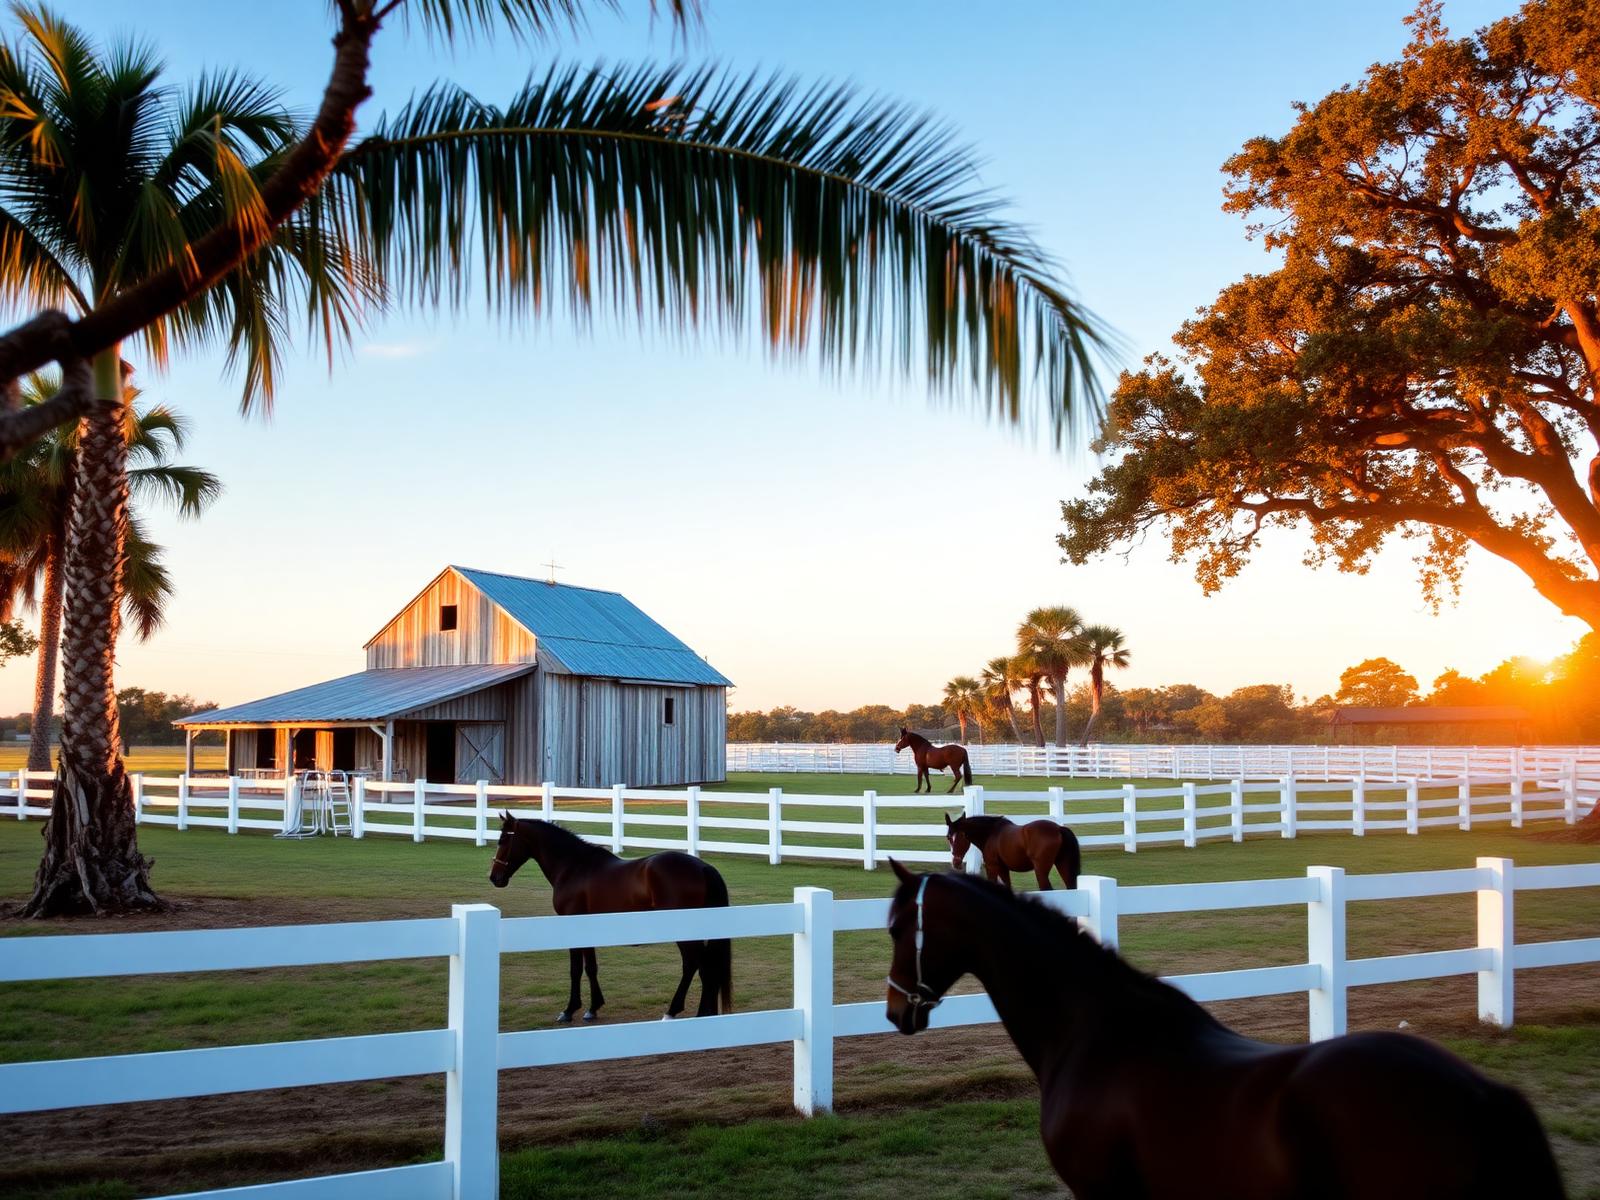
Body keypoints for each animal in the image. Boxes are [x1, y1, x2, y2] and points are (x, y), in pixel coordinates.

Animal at [489, 813, 733, 1023]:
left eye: (503, 840)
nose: (494, 877)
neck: (574, 867)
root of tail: (703, 867)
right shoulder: (588, 928)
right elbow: (591, 967)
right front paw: (592, 1008)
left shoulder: (573, 926)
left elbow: (575, 969)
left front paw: (569, 1010)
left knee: (694, 965)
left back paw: (675, 1011)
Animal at [945, 812, 1080, 891]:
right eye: (948, 837)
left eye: (962, 836)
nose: (956, 863)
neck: (991, 833)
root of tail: (1059, 829)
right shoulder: (1003, 869)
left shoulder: (992, 867)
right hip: (1062, 865)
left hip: (1041, 871)